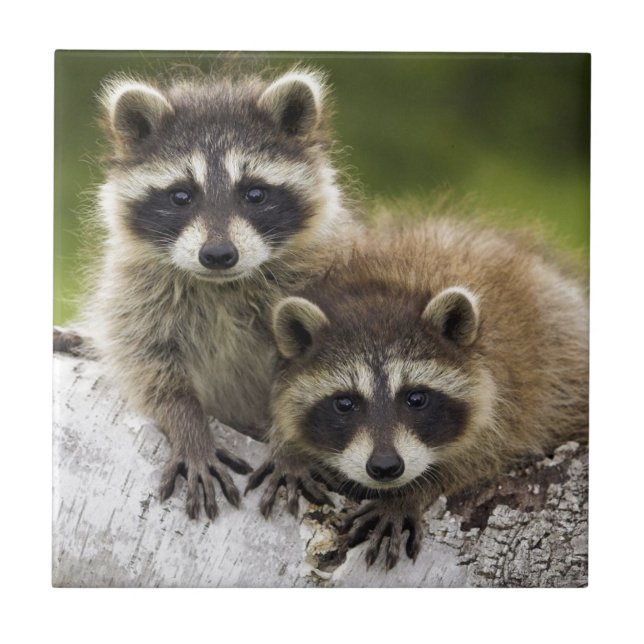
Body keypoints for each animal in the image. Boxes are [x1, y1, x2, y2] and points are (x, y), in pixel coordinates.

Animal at [56, 67, 358, 520]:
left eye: (255, 193)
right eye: (181, 195)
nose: (217, 255)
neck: (220, 286)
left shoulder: (319, 281)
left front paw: (290, 447)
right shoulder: (136, 291)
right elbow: (149, 364)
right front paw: (189, 426)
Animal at [247, 217, 588, 568]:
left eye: (416, 399)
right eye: (344, 403)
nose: (385, 467)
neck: (387, 287)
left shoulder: (514, 391)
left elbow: (484, 454)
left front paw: (412, 492)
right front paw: (289, 448)